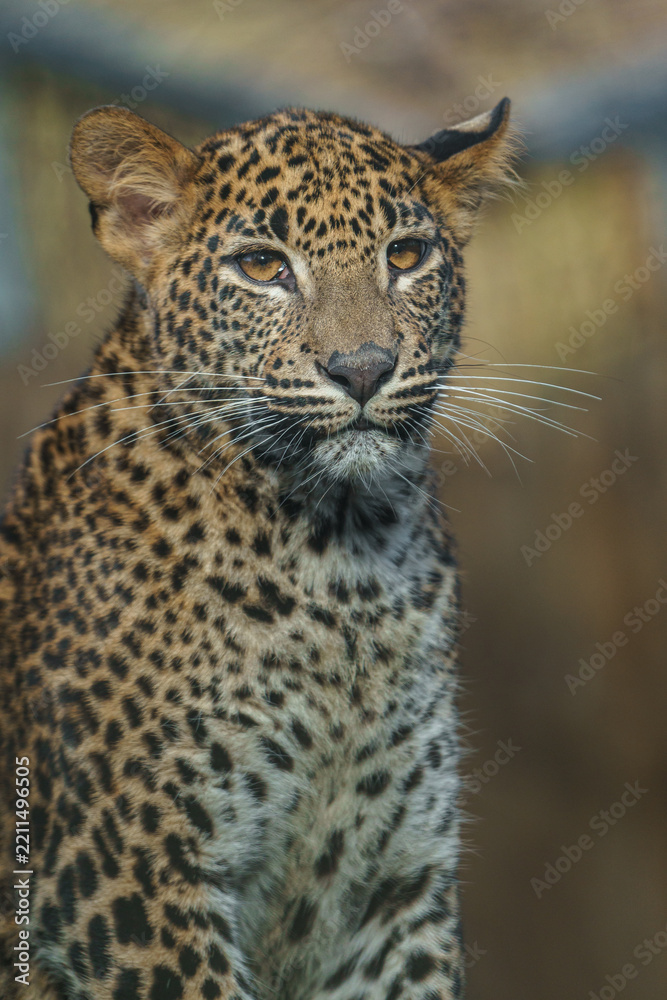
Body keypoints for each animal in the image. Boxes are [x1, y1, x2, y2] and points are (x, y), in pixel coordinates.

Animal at [0, 97, 516, 1000]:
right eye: (262, 266)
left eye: (406, 255)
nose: (363, 368)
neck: (342, 559)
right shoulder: (130, 888)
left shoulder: (395, 893)